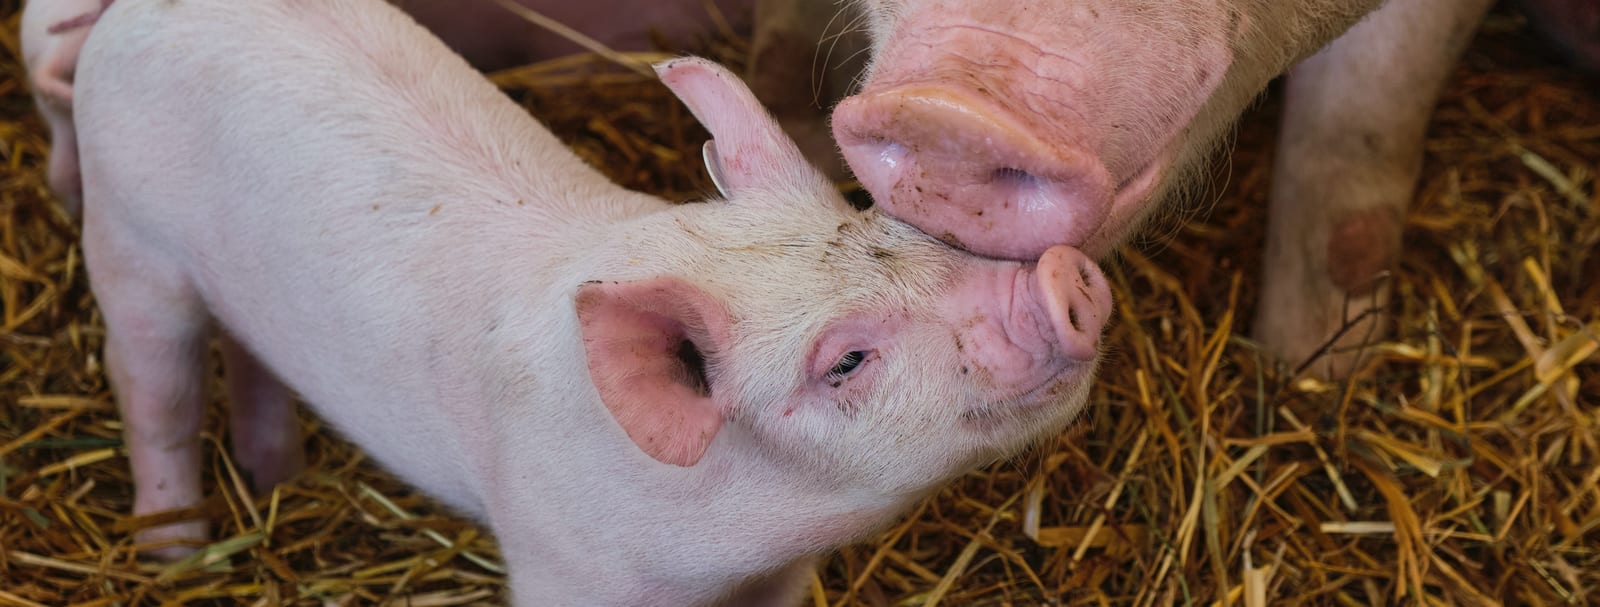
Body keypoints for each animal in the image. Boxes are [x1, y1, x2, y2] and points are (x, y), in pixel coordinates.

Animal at [67, 0, 1112, 604]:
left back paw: (277, 473)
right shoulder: (563, 564)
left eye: (881, 224)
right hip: (128, 235)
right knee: (154, 391)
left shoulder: (781, 576)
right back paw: (175, 555)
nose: (1061, 278)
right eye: (845, 360)